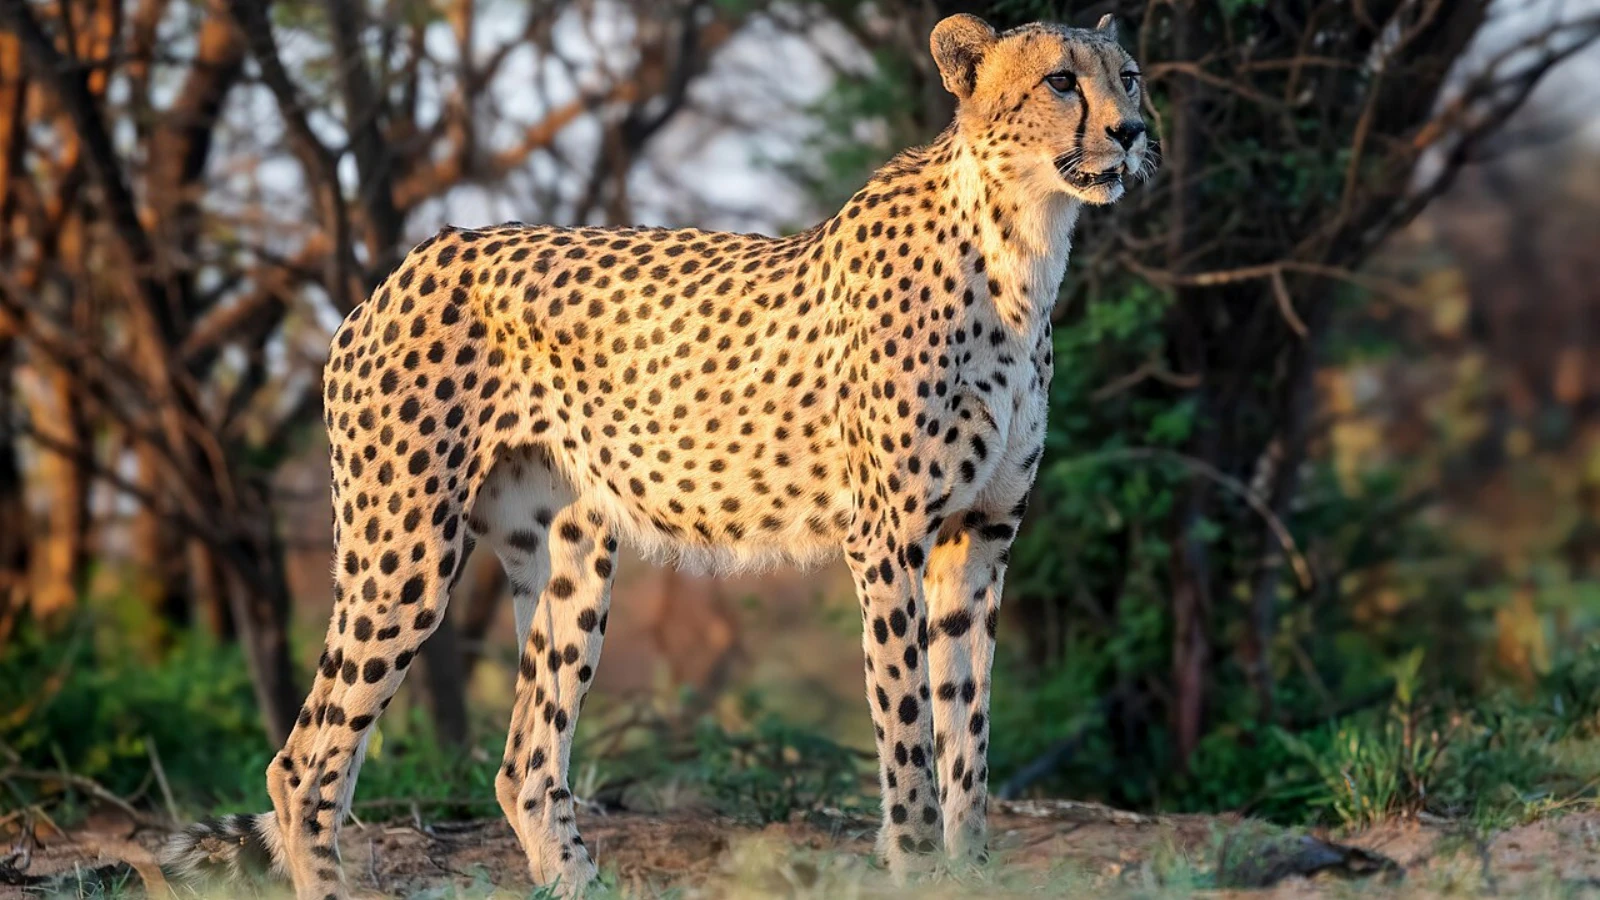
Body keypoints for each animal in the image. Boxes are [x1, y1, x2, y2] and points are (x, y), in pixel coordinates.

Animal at [161, 13, 1154, 899]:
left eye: (1130, 76)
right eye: (1061, 81)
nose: (1133, 131)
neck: (1023, 244)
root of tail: (407, 264)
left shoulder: (978, 541)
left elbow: (968, 736)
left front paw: (971, 871)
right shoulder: (889, 541)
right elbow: (911, 734)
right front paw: (918, 871)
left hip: (570, 558)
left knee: (525, 763)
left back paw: (580, 885)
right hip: (402, 551)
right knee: (304, 764)